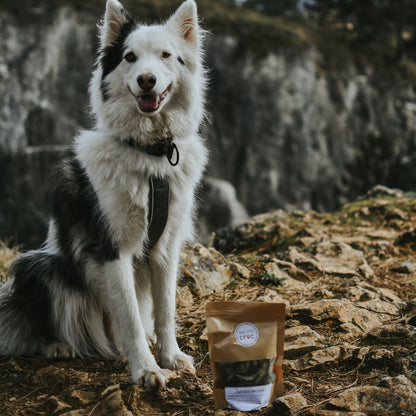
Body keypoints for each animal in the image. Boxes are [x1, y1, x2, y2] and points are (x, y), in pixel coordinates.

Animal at [0, 0, 208, 386]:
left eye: (166, 55)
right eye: (129, 57)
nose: (146, 79)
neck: (149, 155)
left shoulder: (166, 248)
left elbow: (165, 310)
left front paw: (170, 356)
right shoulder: (111, 248)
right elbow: (130, 317)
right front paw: (146, 370)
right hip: (40, 265)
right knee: (30, 322)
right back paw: (57, 346)